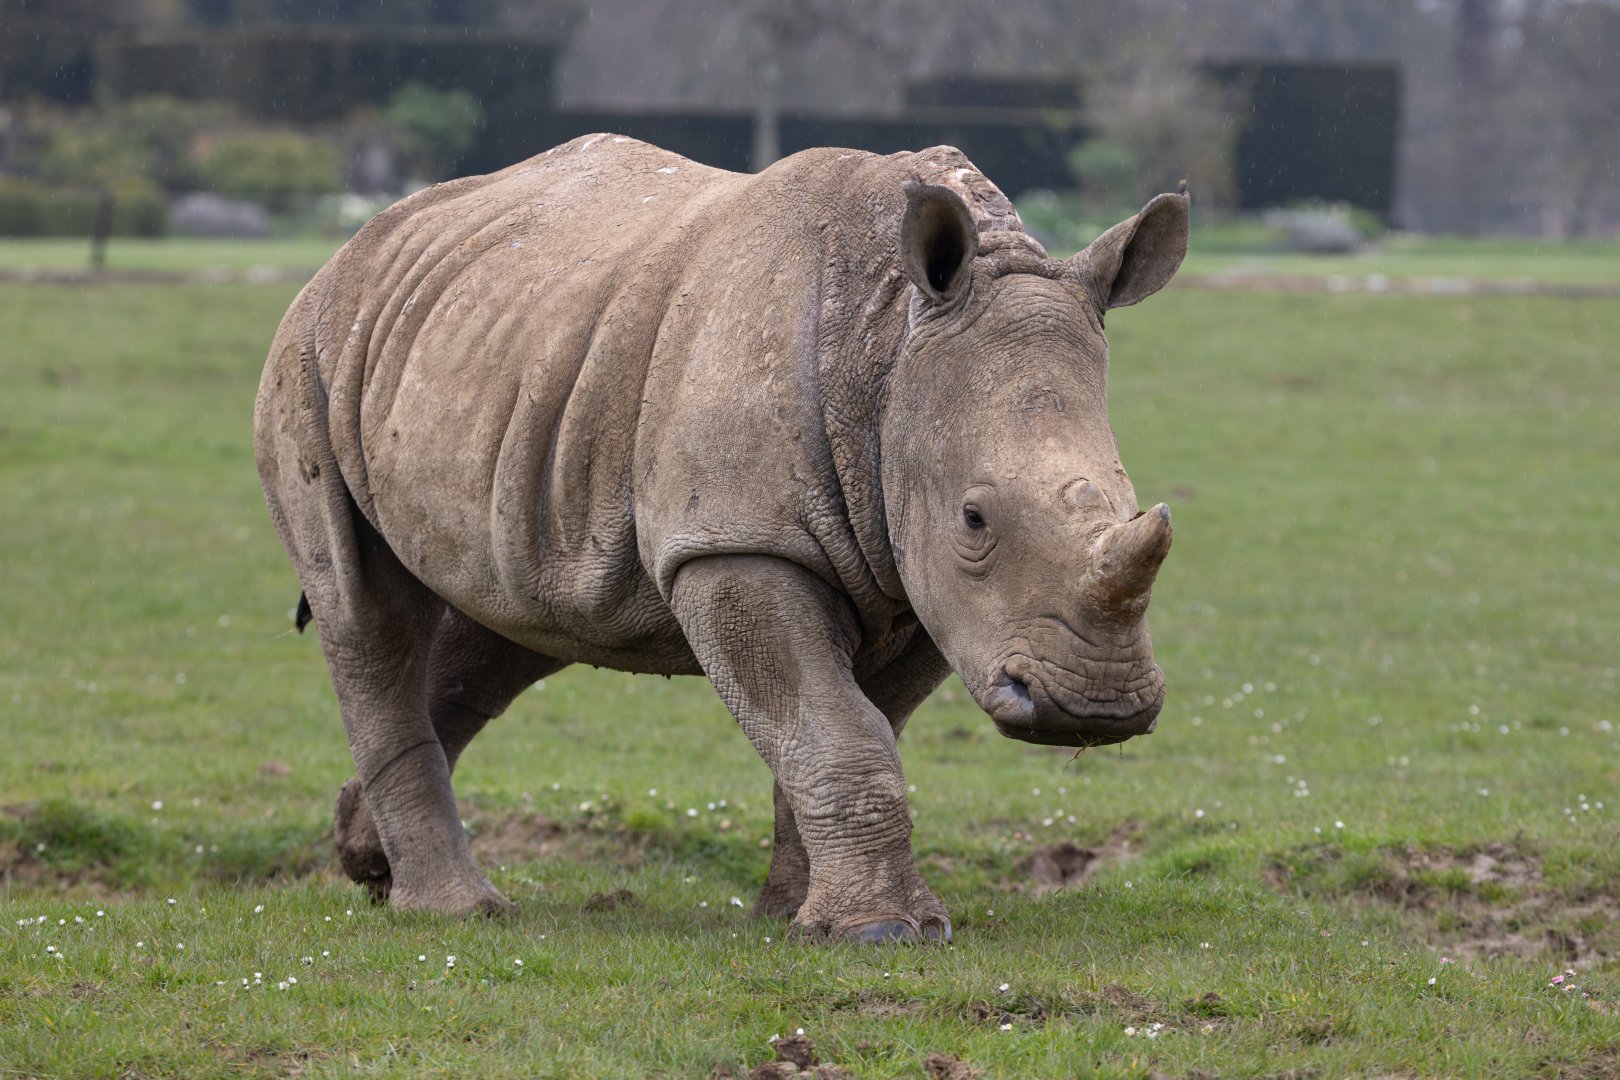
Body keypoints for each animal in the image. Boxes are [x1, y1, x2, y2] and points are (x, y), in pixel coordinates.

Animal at [254, 134, 1187, 942]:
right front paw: (882, 932)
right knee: (366, 613)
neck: (889, 343)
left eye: (1132, 501)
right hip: (310, 351)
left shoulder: (923, 579)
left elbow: (845, 727)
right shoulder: (737, 541)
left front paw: (798, 918)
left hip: (508, 358)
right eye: (975, 519)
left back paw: (365, 859)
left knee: (514, 621)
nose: (1095, 709)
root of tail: (361, 241)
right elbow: (839, 730)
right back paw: (457, 911)